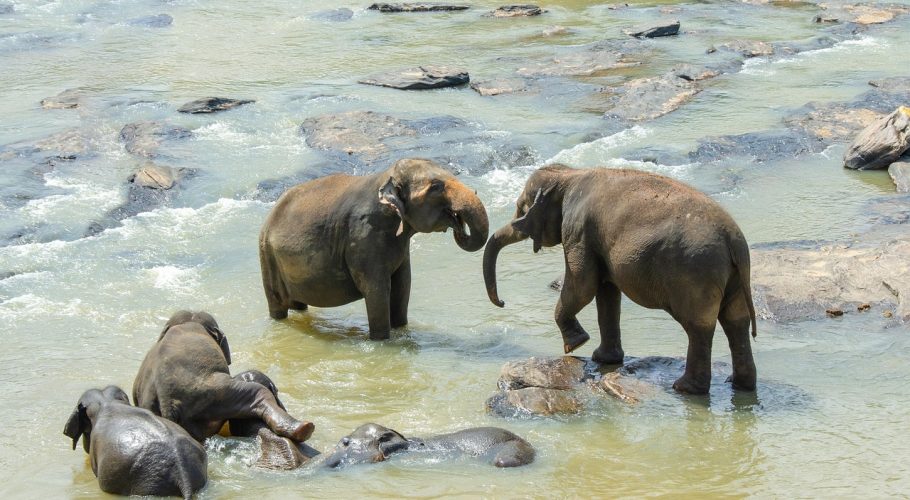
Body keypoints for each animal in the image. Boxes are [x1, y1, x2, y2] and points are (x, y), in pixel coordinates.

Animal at [259, 158, 489, 339]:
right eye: (435, 187)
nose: (458, 223)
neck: (385, 177)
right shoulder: (363, 237)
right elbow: (377, 291)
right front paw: (382, 341)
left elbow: (403, 285)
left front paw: (401, 330)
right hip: (267, 256)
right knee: (277, 305)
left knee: (299, 305)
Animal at [483, 165, 757, 395]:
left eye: (521, 208)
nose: (502, 302)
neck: (570, 174)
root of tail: (735, 240)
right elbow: (606, 293)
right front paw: (603, 358)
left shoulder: (578, 230)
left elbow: (583, 286)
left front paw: (576, 346)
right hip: (730, 277)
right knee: (736, 323)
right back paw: (739, 384)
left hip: (696, 274)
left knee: (699, 327)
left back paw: (685, 389)